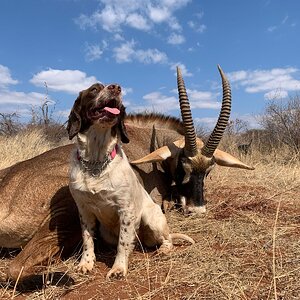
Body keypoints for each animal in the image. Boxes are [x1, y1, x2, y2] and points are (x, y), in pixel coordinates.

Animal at [67, 82, 195, 278]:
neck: (96, 163)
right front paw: (86, 263)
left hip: (152, 219)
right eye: (94, 89)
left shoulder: (125, 210)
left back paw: (163, 249)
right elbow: (87, 240)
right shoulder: (84, 210)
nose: (116, 87)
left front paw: (118, 268)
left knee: (166, 239)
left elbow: (123, 243)